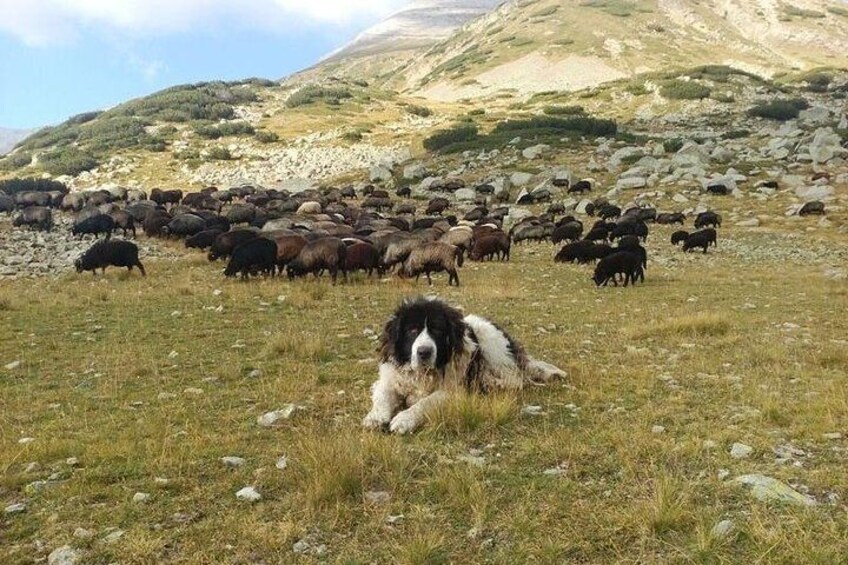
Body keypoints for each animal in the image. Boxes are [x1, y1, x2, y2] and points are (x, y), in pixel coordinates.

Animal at [362, 298, 568, 434]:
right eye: (412, 330)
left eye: (437, 330)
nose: (424, 352)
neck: (424, 374)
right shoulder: (390, 380)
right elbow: (382, 397)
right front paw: (374, 417)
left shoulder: (453, 391)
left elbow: (425, 402)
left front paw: (404, 419)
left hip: (489, 341)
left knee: (515, 377)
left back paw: (492, 383)